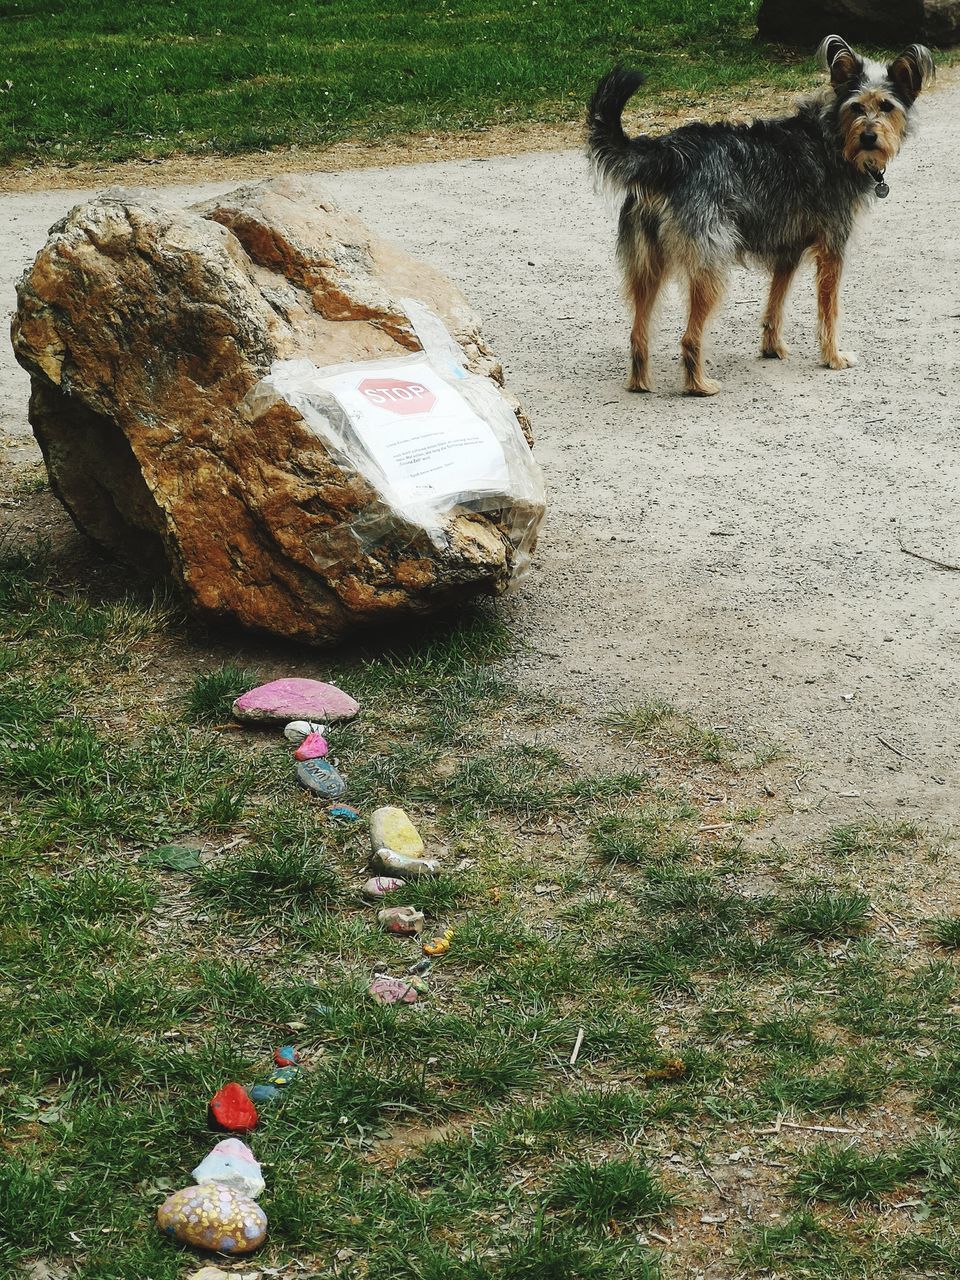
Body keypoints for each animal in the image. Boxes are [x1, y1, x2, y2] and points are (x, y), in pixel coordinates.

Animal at [591, 37, 936, 396]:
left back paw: (640, 382)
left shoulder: (788, 251)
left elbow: (775, 304)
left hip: (647, 267)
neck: (832, 138)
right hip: (711, 267)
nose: (869, 137)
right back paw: (699, 385)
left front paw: (772, 348)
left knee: (637, 333)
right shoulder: (832, 250)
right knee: (688, 338)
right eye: (856, 107)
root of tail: (669, 154)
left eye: (886, 106)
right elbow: (829, 311)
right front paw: (833, 357)